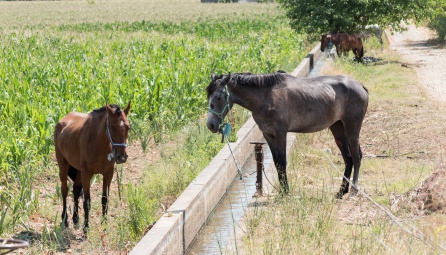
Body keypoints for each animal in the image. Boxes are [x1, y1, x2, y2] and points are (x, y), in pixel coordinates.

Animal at [54, 102, 131, 235]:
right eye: (112, 127)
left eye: (128, 127)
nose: (122, 157)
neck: (98, 143)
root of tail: (61, 121)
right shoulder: (86, 174)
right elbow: (87, 202)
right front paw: (86, 229)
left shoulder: (108, 174)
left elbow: (105, 200)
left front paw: (104, 226)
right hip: (63, 166)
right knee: (64, 190)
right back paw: (65, 220)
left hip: (78, 170)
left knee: (75, 189)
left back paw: (75, 219)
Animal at [206, 71, 370, 197]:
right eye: (208, 96)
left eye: (219, 97)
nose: (211, 125)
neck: (266, 97)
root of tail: (360, 85)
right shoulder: (268, 135)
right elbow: (277, 163)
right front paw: (283, 191)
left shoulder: (280, 134)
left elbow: (283, 161)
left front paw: (286, 191)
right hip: (338, 129)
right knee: (348, 159)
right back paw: (341, 191)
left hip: (352, 128)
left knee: (356, 157)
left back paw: (354, 189)